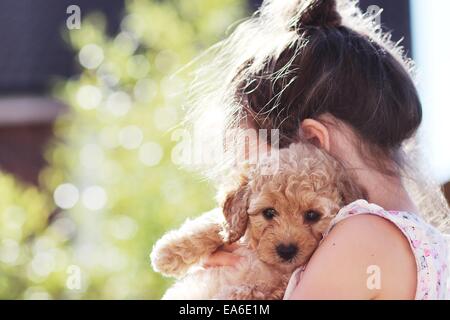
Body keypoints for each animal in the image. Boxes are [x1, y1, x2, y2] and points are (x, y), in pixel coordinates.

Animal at [150, 142, 362, 300]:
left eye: (312, 215)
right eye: (268, 212)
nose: (286, 250)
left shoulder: (274, 288)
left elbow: (245, 291)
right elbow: (216, 223)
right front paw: (167, 252)